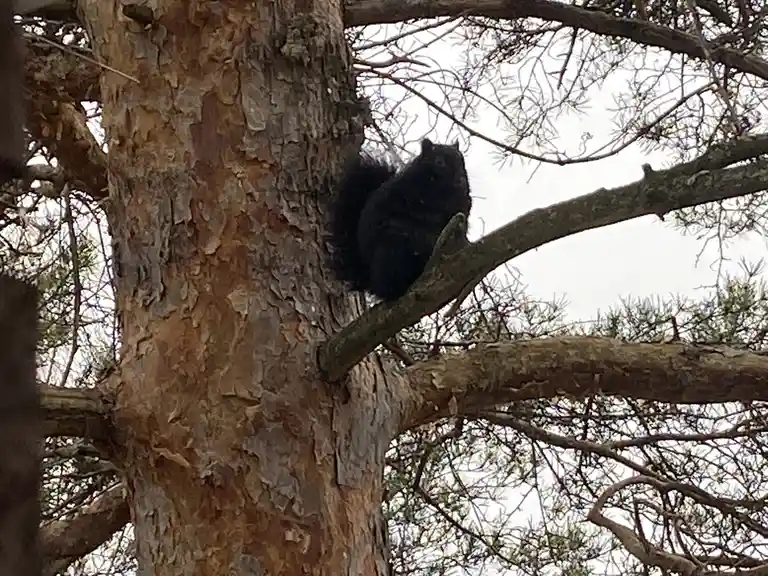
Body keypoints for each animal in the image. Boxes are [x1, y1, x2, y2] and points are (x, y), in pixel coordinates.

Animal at [327, 138, 472, 301]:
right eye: (439, 162)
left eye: (462, 159)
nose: (460, 179)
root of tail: (371, 279)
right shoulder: (411, 195)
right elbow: (426, 212)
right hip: (393, 249)